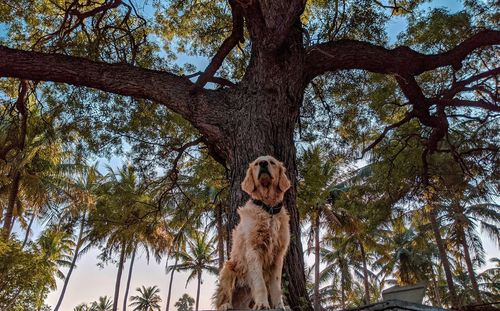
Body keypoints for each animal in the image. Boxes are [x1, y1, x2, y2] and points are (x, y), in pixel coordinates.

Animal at [214, 157, 292, 310]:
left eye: (272, 162)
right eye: (256, 163)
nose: (263, 163)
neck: (269, 209)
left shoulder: (278, 256)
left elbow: (276, 286)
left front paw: (280, 305)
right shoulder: (253, 250)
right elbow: (260, 283)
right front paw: (262, 304)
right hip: (228, 270)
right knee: (223, 298)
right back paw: (225, 305)